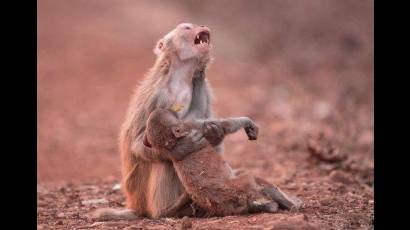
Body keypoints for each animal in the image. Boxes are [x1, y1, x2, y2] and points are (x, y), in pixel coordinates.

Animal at [144, 108, 302, 217]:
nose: (174, 110)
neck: (173, 143)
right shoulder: (191, 125)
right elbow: (224, 125)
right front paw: (247, 121)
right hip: (242, 186)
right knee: (254, 178)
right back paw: (292, 205)